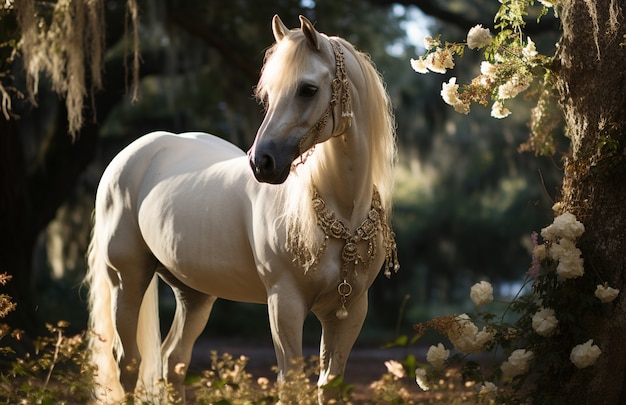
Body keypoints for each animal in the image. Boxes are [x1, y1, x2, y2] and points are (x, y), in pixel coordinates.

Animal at [85, 14, 398, 402]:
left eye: (308, 89)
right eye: (268, 93)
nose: (261, 163)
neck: (340, 213)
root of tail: (134, 153)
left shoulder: (349, 311)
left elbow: (330, 385)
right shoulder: (285, 303)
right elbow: (290, 382)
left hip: (194, 294)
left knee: (174, 360)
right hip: (126, 281)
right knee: (129, 364)